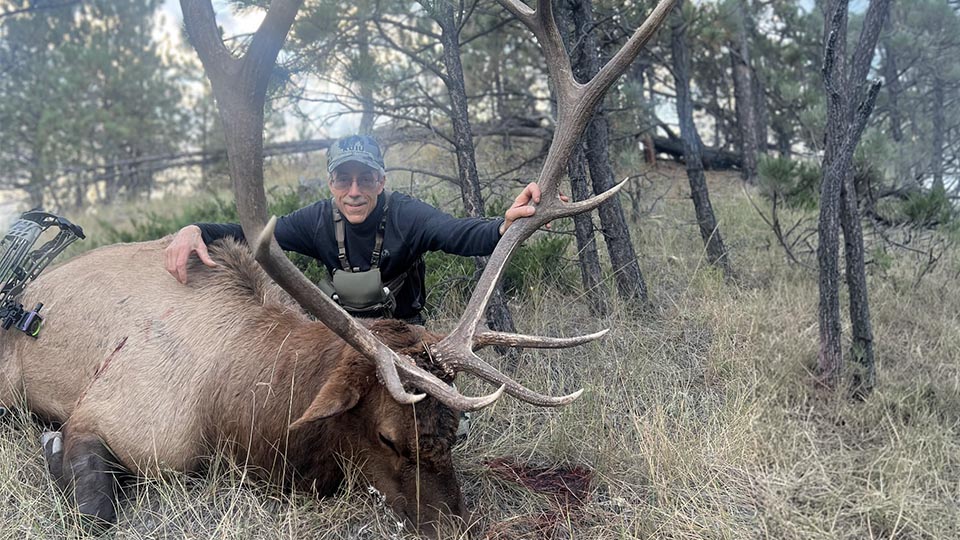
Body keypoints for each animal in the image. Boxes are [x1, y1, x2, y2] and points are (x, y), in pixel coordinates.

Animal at [0, 0, 676, 536]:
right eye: (387, 436)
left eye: (456, 431)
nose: (455, 524)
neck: (227, 419)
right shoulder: (102, 414)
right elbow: (95, 511)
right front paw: (50, 448)